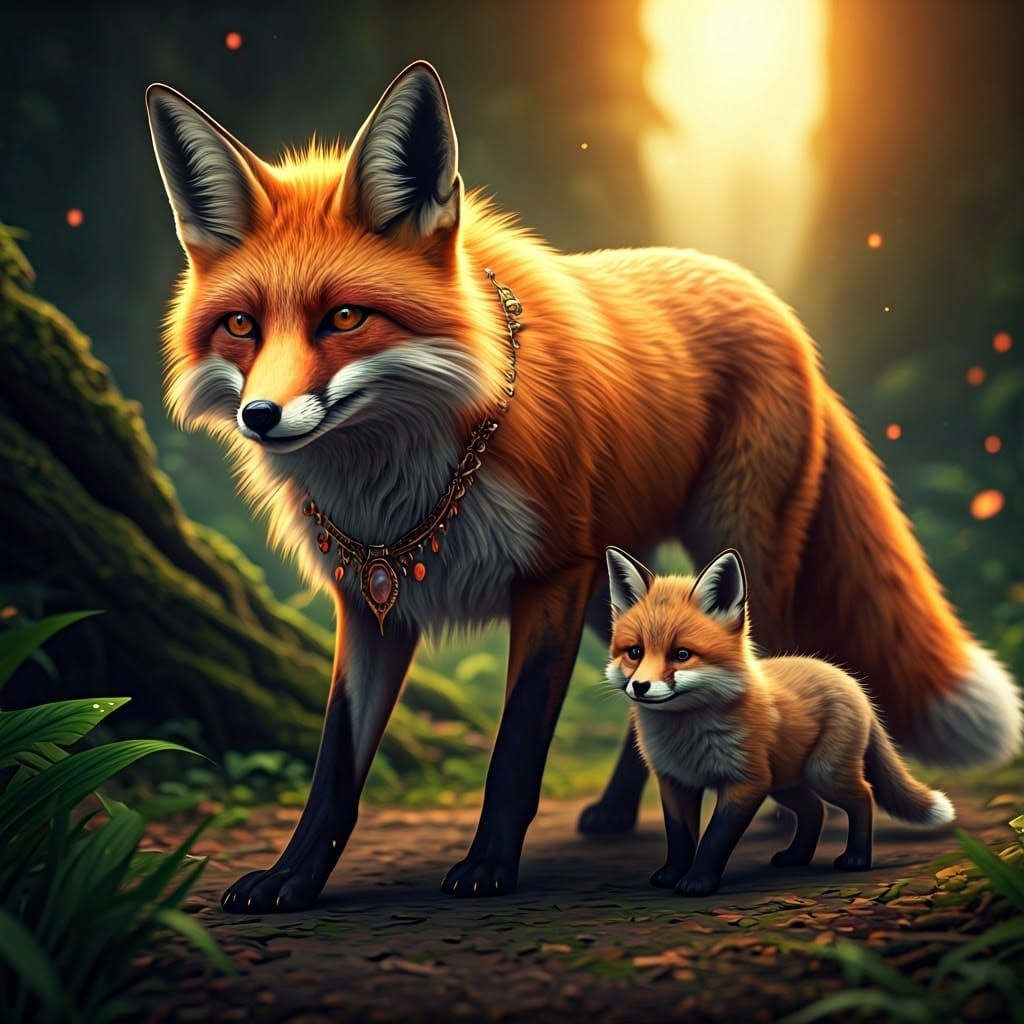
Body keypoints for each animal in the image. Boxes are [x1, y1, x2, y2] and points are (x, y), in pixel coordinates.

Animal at [605, 547, 957, 896]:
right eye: (635, 652)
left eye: (681, 654)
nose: (640, 687)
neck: (686, 735)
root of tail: (848, 679)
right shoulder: (676, 781)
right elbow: (679, 838)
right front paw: (671, 875)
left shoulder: (747, 783)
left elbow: (714, 839)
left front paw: (698, 882)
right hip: (785, 783)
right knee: (814, 809)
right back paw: (797, 857)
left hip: (822, 774)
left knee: (862, 797)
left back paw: (856, 858)